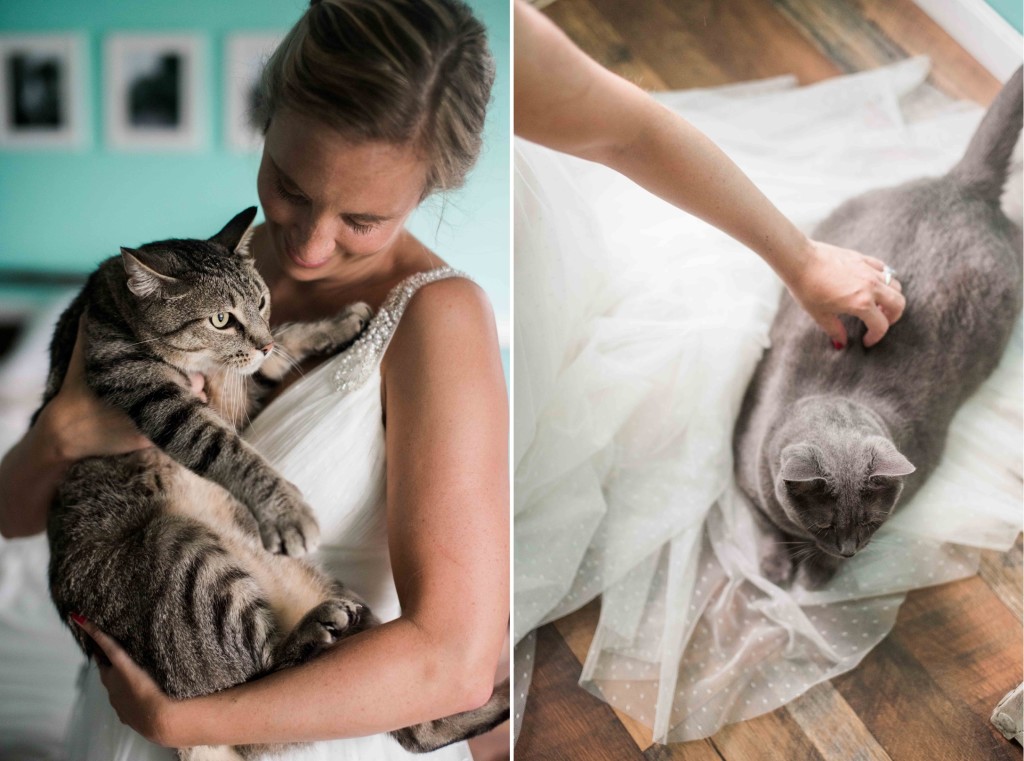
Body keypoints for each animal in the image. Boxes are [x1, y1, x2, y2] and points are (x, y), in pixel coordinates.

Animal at [40, 206, 512, 757]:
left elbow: (279, 347)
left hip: (332, 589)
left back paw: (498, 702)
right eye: (221, 319)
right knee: (261, 680)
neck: (110, 300)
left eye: (261, 301)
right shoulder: (152, 393)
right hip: (180, 553)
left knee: (407, 722)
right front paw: (284, 508)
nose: (260, 341)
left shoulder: (240, 384)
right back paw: (313, 631)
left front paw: (332, 325)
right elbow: (226, 448)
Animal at [733, 67, 1019, 589]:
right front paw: (776, 565)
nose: (848, 549)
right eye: (824, 523)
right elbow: (762, 518)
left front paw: (817, 574)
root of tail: (962, 185)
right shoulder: (743, 459)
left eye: (871, 522)